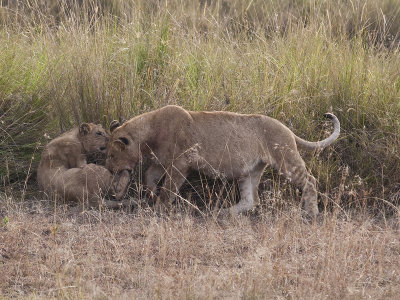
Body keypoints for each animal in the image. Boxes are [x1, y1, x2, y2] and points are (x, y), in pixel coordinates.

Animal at [104, 106, 340, 218]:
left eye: (112, 155)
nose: (108, 169)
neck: (150, 132)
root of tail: (287, 129)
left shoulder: (181, 163)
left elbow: (168, 189)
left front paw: (159, 206)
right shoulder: (160, 162)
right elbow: (149, 177)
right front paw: (150, 194)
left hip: (285, 157)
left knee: (310, 181)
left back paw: (311, 212)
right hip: (250, 170)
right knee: (250, 199)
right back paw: (223, 212)